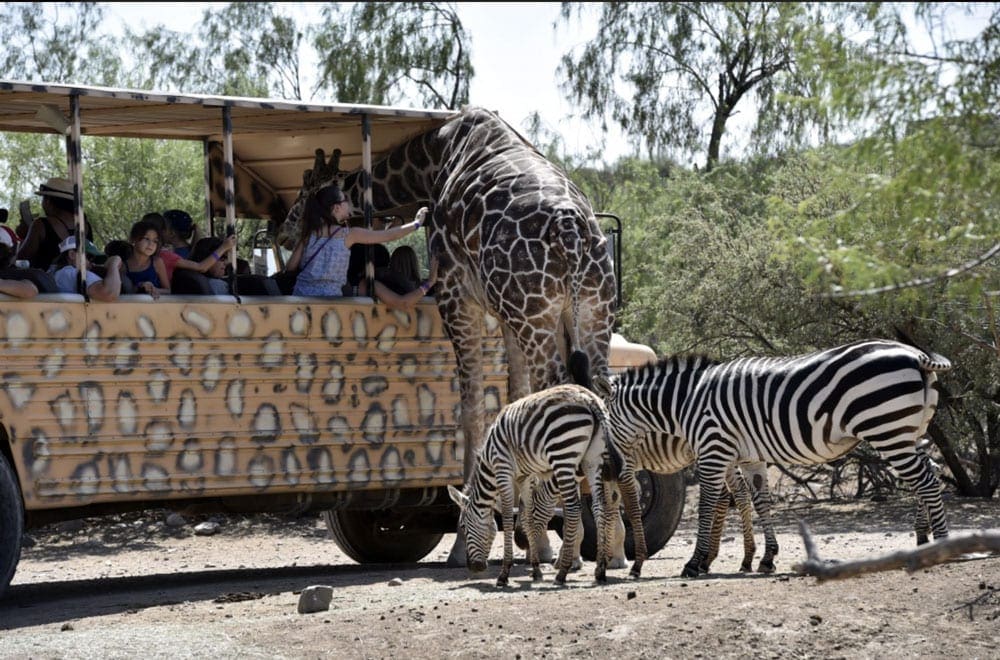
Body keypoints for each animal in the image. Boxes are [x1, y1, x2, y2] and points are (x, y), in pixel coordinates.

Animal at [282, 107, 620, 564]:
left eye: (306, 192)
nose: (283, 231)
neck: (432, 159)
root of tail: (571, 230)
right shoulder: (504, 313)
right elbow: (513, 400)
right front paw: (532, 535)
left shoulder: (456, 294)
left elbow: (472, 411)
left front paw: (469, 542)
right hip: (591, 310)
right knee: (602, 395)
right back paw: (612, 546)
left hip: (538, 311)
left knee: (558, 392)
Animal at [448, 384, 624, 584]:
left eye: (463, 527)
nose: (473, 567)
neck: (489, 462)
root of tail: (590, 398)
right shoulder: (524, 477)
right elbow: (528, 517)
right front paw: (536, 570)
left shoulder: (503, 470)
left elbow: (507, 516)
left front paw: (504, 573)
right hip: (592, 460)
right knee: (599, 506)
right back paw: (600, 570)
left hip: (563, 454)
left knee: (572, 508)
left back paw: (562, 572)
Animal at [600, 340, 952, 576]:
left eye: (605, 421)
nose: (609, 466)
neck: (687, 400)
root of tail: (917, 355)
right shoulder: (748, 458)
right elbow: (761, 503)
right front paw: (767, 558)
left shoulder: (713, 450)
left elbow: (707, 507)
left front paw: (694, 563)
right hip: (907, 431)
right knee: (930, 471)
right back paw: (925, 540)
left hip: (887, 429)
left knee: (926, 481)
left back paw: (944, 545)